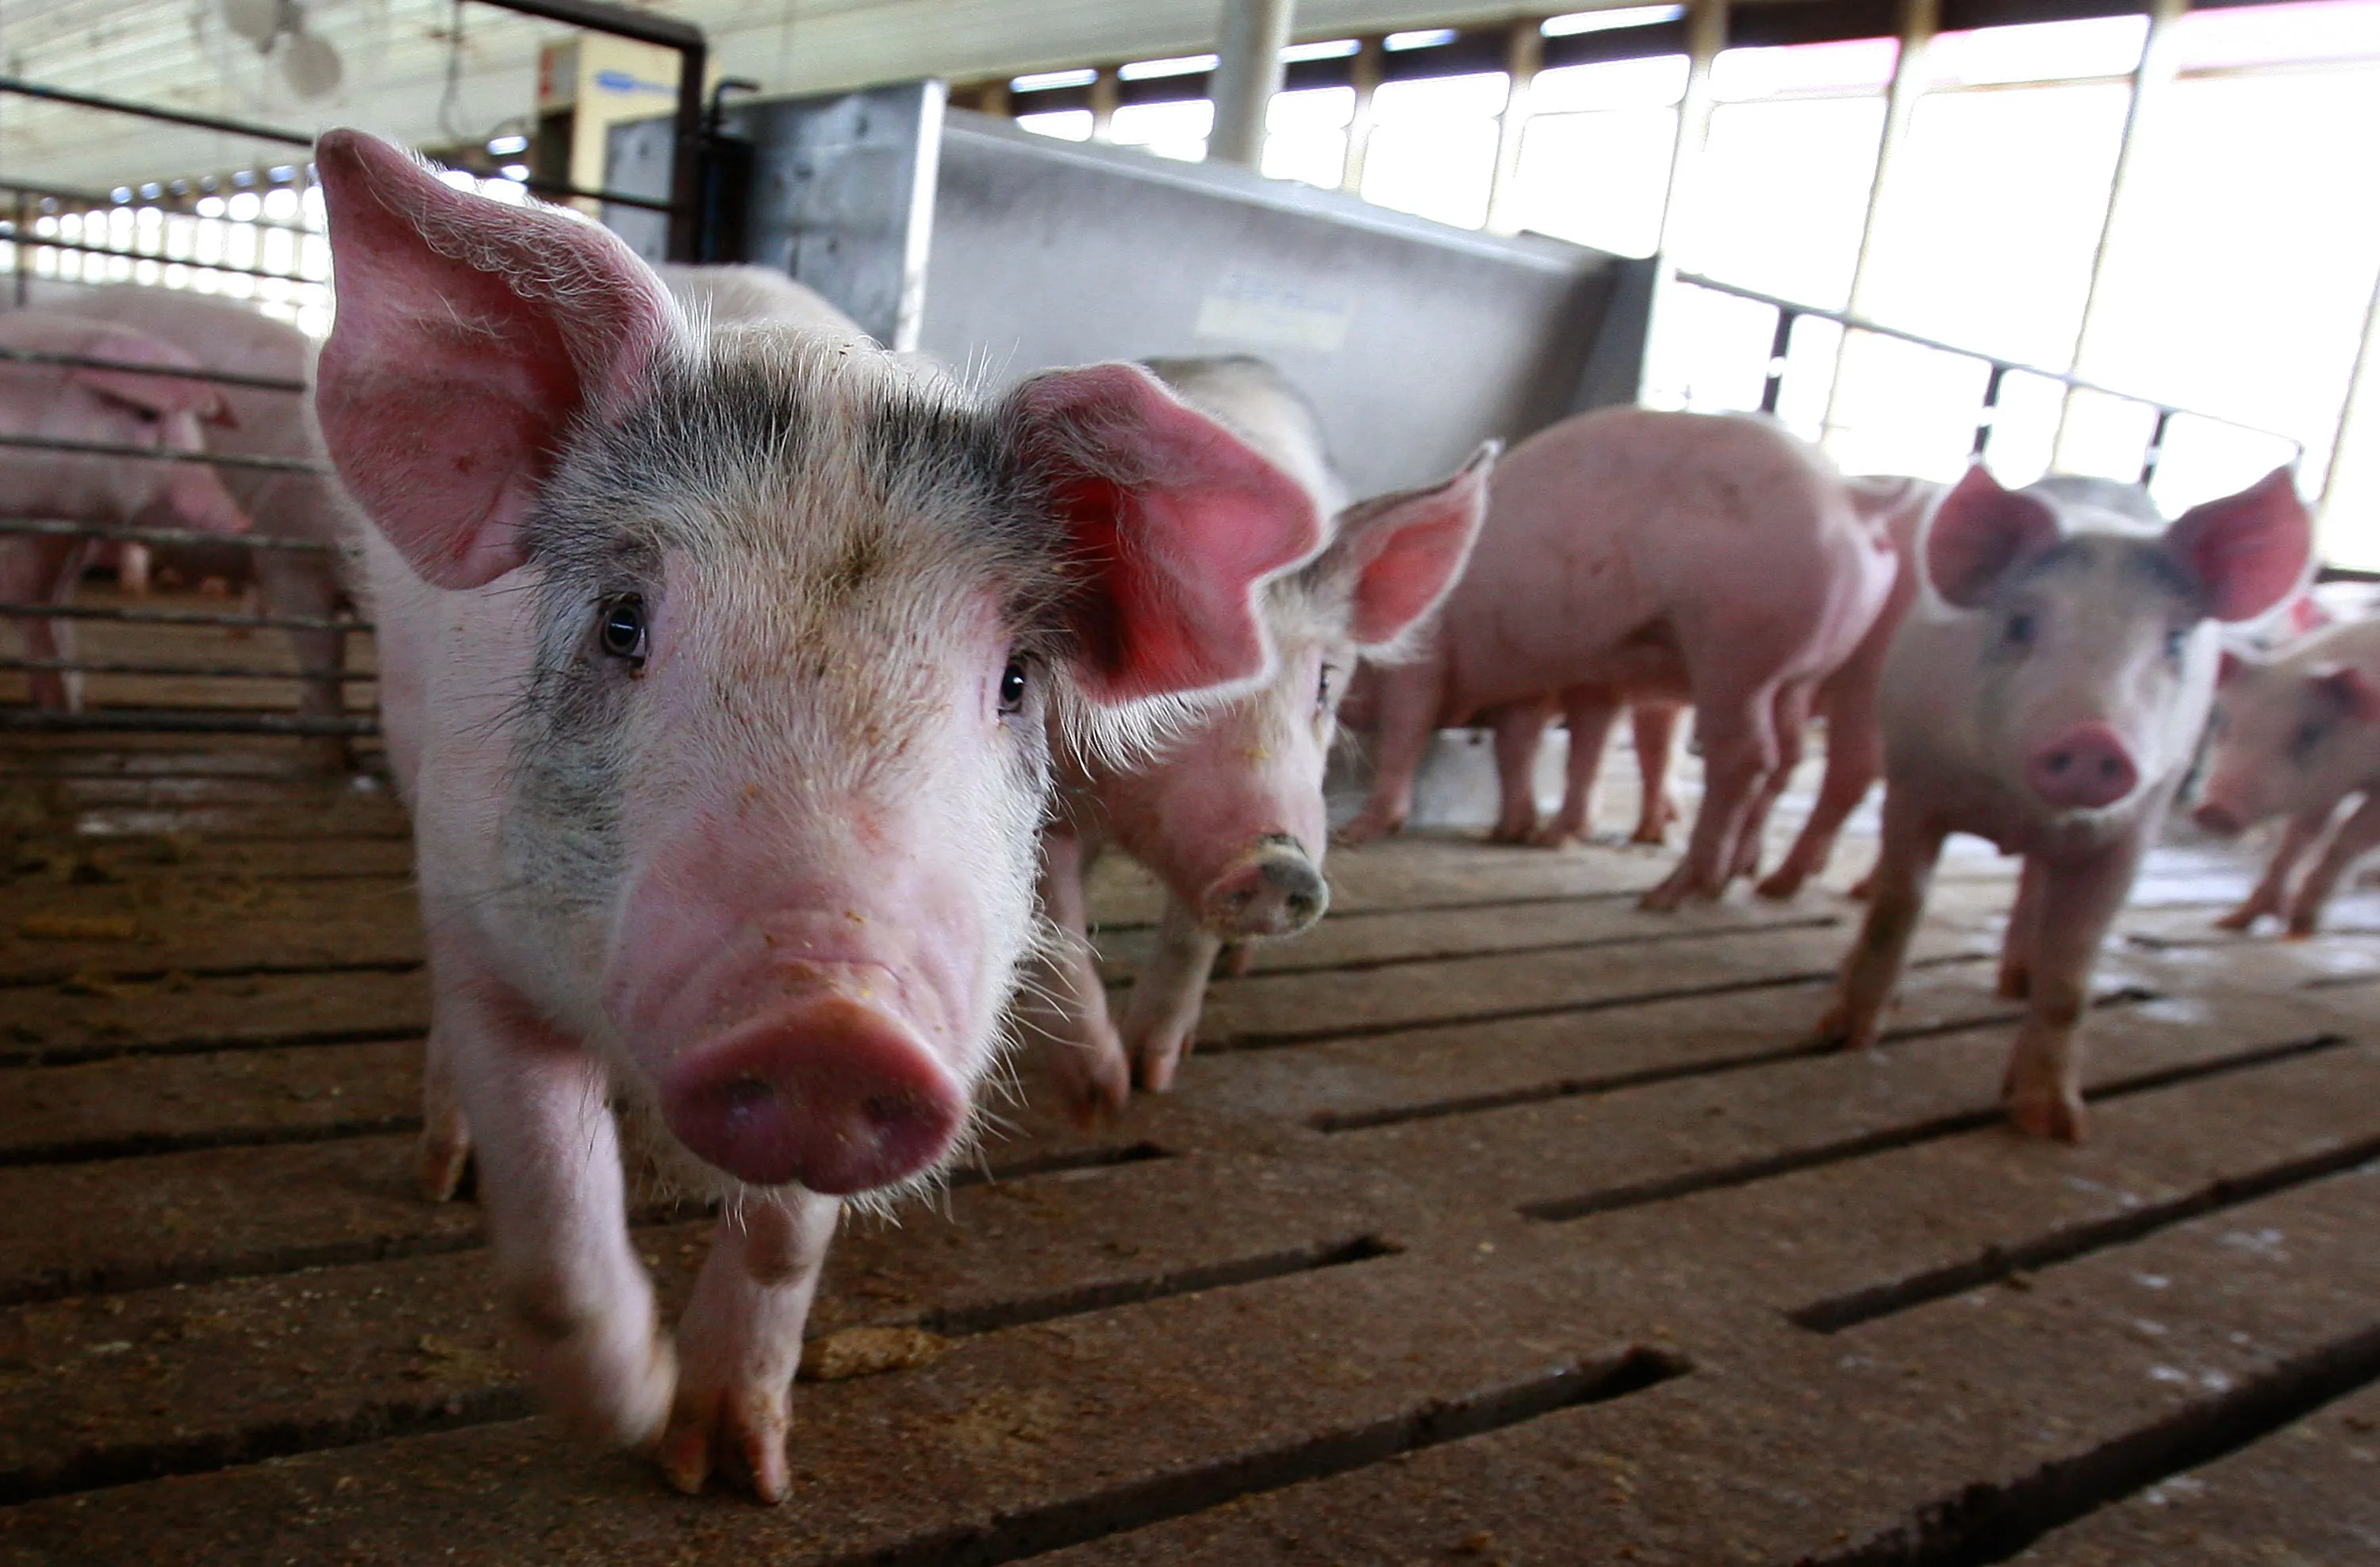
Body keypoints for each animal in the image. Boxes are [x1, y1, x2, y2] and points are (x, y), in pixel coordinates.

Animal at [312, 130, 1320, 1500]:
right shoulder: (481, 918)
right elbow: (554, 1231)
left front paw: (732, 1470)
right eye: (623, 621)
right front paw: (636, 1411)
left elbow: (788, 1239)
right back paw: (440, 1170)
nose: (831, 1020)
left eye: (1016, 680)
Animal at [1022, 354, 1494, 1117]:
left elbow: (1189, 937)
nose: (1278, 864)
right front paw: (1101, 1097)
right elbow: (1055, 929)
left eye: (1324, 682)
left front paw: (1152, 1075)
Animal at [1340, 408, 1897, 911]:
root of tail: (1849, 497)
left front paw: (1359, 832)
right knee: (1789, 756)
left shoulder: (1425, 661)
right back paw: (1734, 881)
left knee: (1749, 757)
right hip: (1798, 674)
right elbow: (1518, 745)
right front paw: (1512, 830)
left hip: (1739, 655)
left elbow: (1405, 735)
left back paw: (1671, 894)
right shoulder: (1530, 679)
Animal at [1813, 466, 2311, 1140]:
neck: (2016, 809)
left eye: (2175, 639)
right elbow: (1897, 907)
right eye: (2022, 623)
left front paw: (2054, 1124)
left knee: (2036, 887)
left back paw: (2018, 982)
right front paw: (1843, 1037)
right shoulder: (1915, 781)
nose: (2093, 738)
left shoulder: (2130, 831)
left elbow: (2074, 969)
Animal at [2191, 616, 2380, 934]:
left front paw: (2300, 927)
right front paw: (2229, 923)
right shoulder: (2323, 786)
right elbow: (2297, 837)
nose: (2214, 810)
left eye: (2308, 736)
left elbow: (2348, 835)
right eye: (2225, 725)